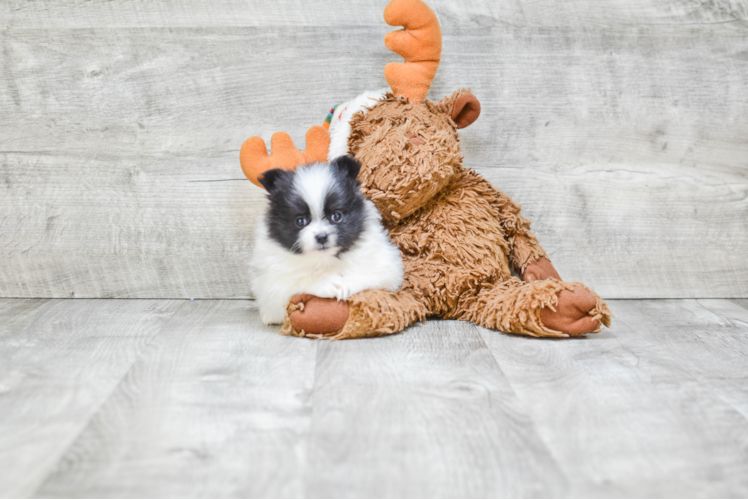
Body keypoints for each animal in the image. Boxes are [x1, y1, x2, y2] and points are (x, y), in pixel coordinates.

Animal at [250, 157, 404, 328]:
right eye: (300, 221)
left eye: (336, 216)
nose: (321, 237)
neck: (324, 259)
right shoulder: (272, 286)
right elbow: (298, 280)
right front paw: (326, 282)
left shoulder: (386, 267)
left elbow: (370, 274)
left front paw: (348, 282)